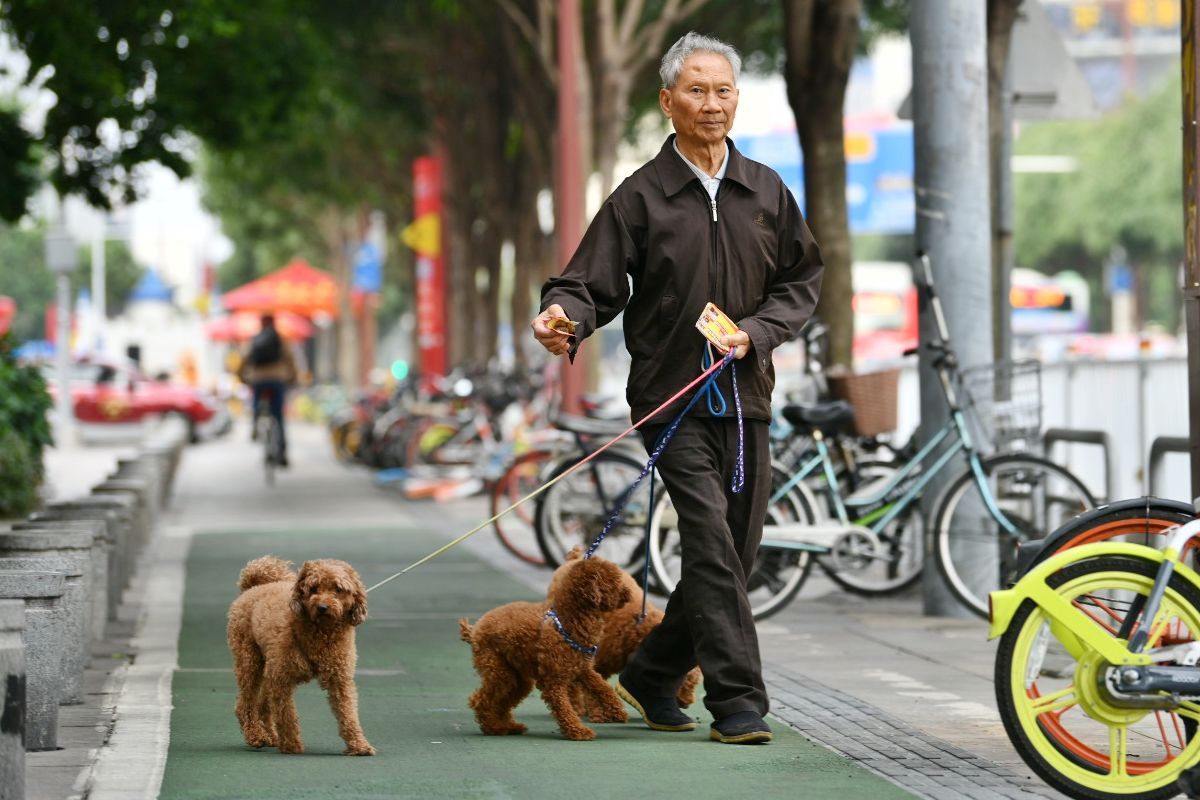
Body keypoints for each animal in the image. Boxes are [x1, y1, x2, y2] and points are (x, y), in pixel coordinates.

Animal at [225, 556, 374, 758]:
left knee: (263, 703)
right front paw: (291, 745)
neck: (321, 632)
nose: (322, 607)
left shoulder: (339, 678)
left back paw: (270, 735)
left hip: (267, 666)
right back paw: (255, 735)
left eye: (338, 589)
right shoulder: (281, 679)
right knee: (245, 703)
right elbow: (286, 715)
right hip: (249, 659)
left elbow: (348, 712)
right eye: (313, 588)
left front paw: (359, 745)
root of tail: (253, 587)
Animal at [456, 554, 633, 743]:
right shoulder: (553, 680)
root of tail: (475, 629)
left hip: (518, 678)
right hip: (498, 670)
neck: (569, 620)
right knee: (480, 700)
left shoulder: (582, 669)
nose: (628, 593)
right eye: (612, 583)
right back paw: (493, 727)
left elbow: (602, 687)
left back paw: (508, 726)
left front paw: (616, 710)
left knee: (501, 702)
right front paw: (578, 730)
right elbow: (564, 708)